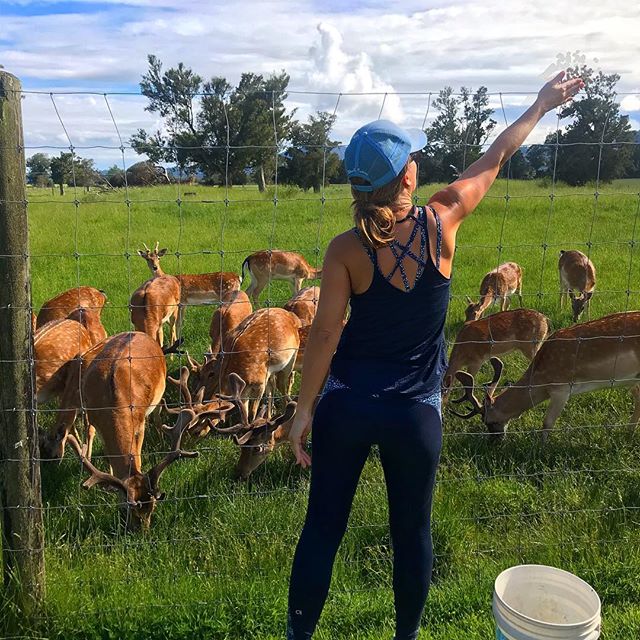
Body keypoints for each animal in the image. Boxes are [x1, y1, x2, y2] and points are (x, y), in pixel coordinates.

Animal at [52, 330, 232, 528]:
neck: (112, 403)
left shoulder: (139, 423)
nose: (143, 531)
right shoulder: (96, 421)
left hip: (158, 392)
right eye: (128, 510)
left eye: (152, 507)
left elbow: (137, 452)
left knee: (157, 413)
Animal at [448, 310, 640, 440]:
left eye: (489, 421)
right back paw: (628, 432)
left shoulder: (561, 389)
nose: (495, 441)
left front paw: (540, 449)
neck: (542, 379)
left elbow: (547, 423)